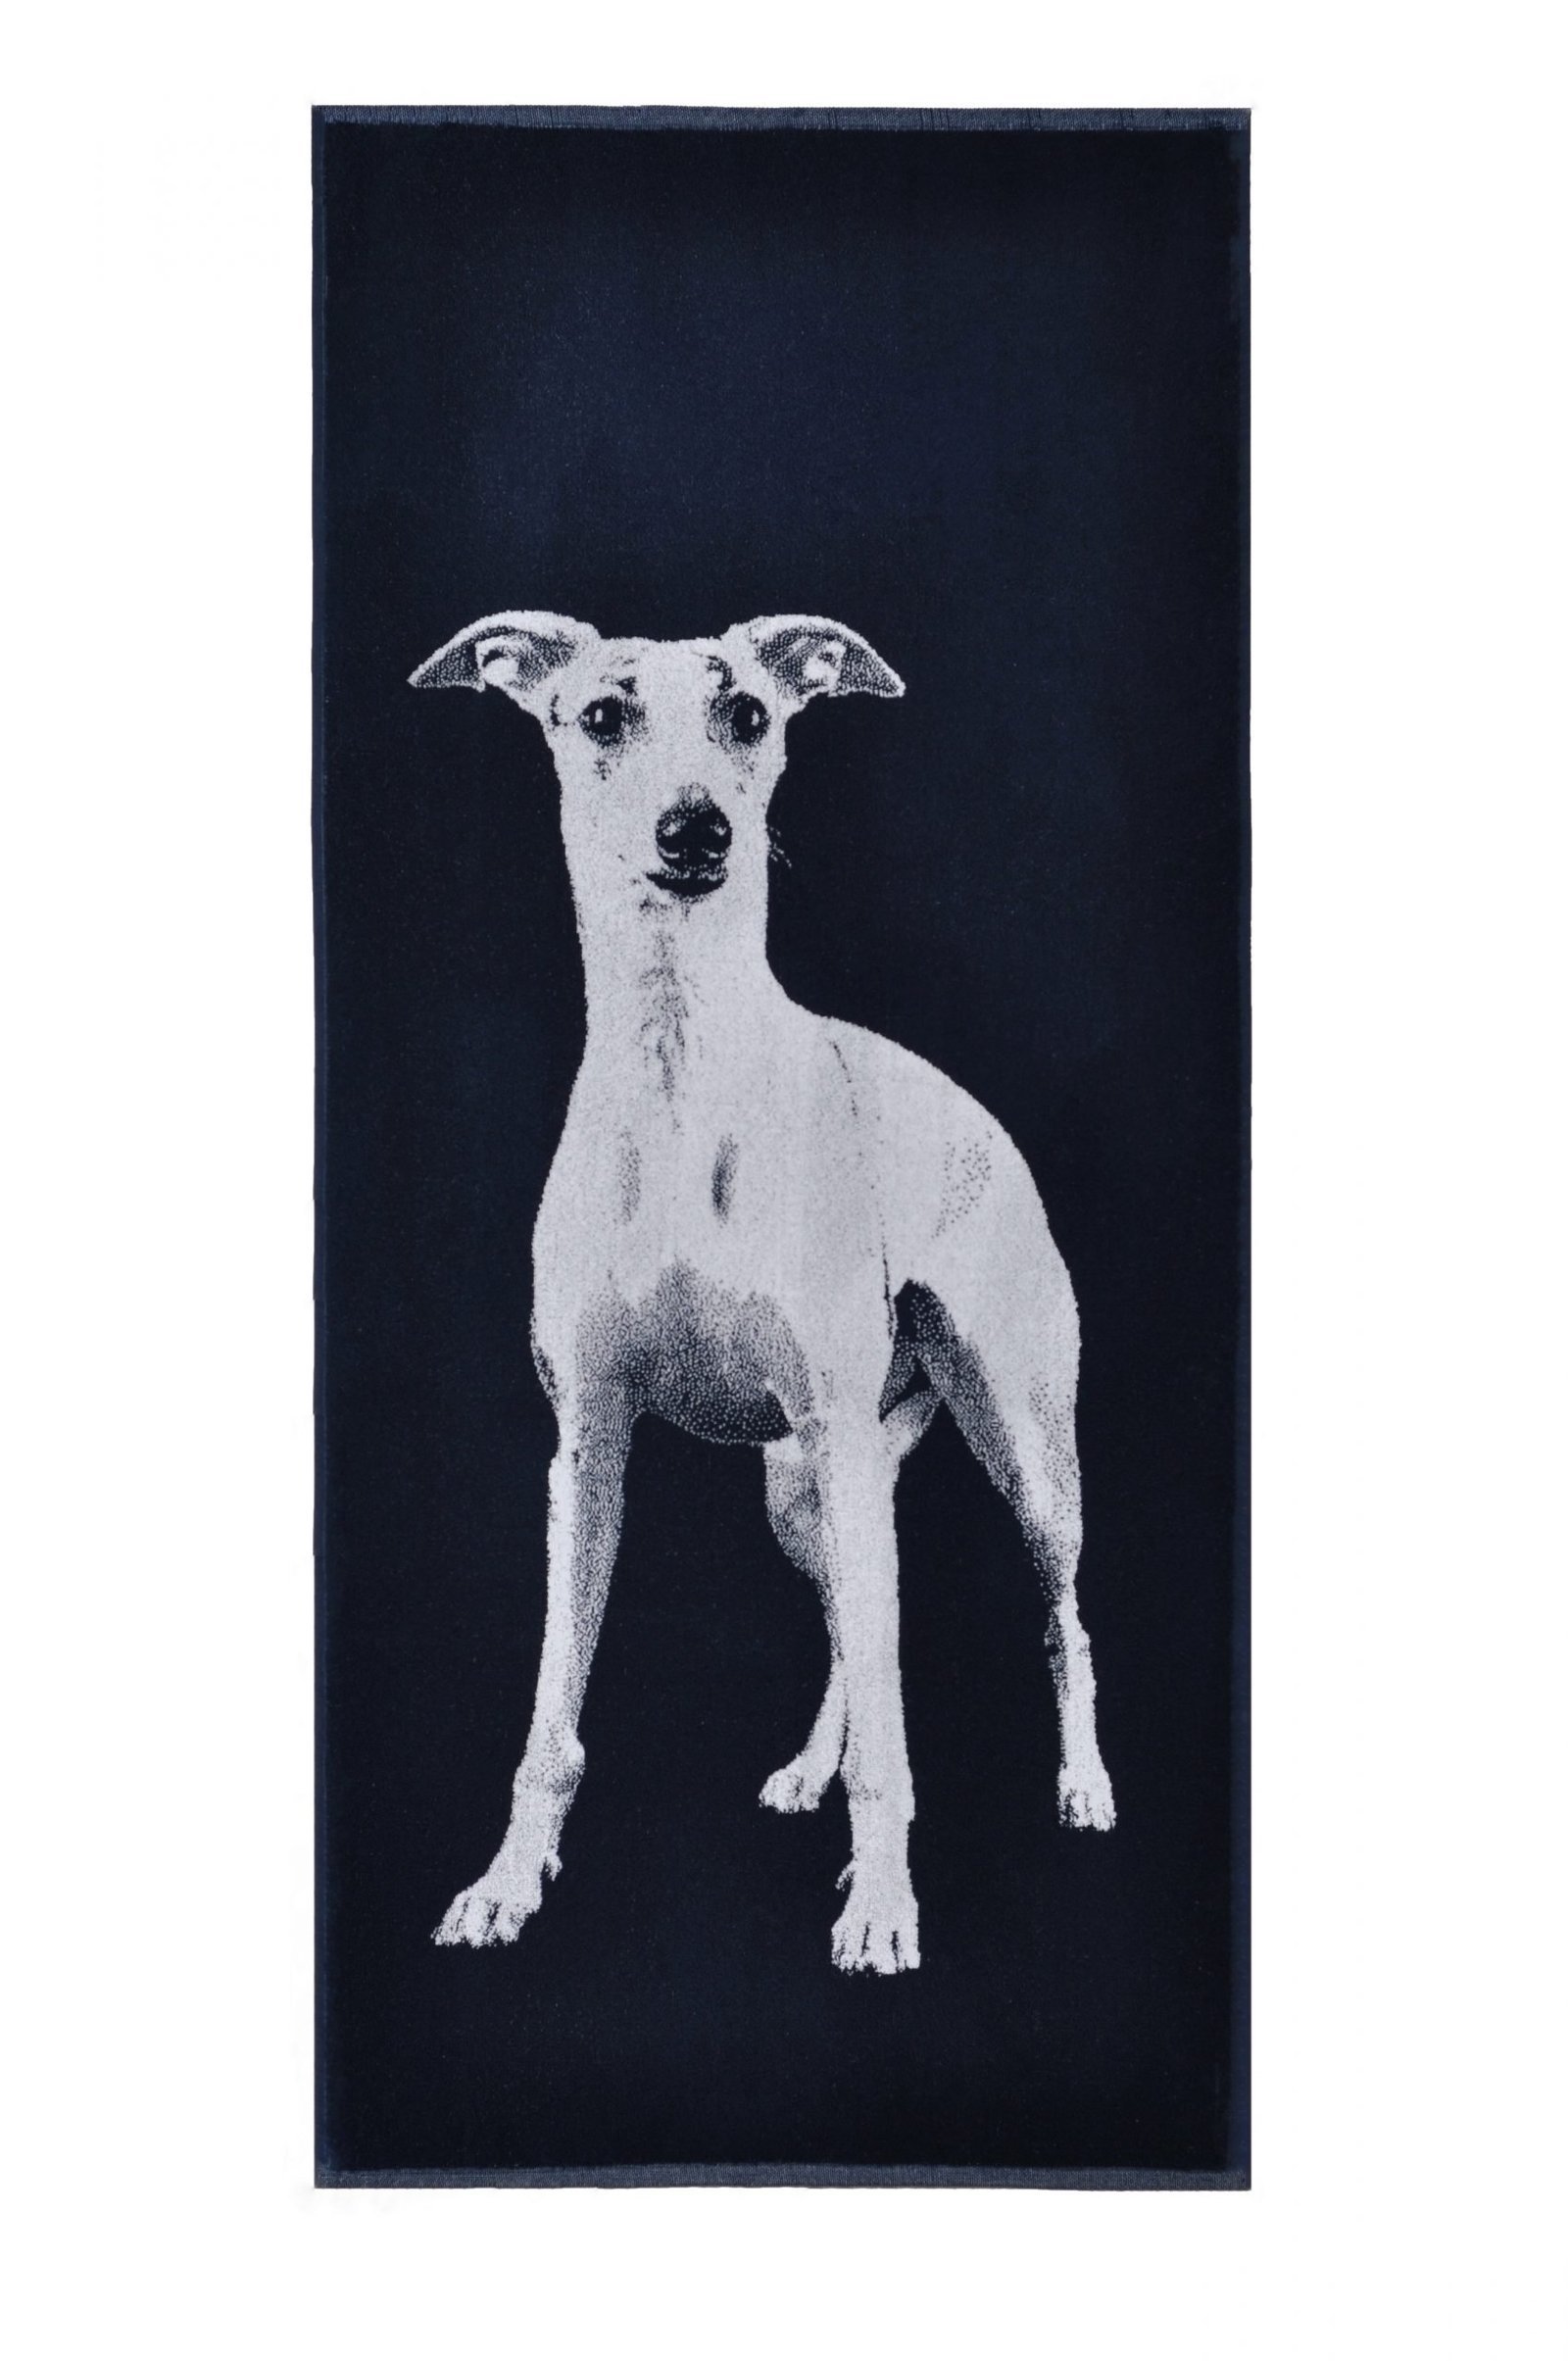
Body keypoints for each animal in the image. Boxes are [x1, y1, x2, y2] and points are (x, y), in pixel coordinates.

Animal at [411, 611, 1115, 1973]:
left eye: (746, 712)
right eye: (601, 714)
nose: (698, 831)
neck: (682, 1075)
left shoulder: (844, 1432)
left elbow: (898, 1732)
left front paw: (882, 1909)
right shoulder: (588, 1449)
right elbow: (552, 1717)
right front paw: (506, 1885)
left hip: (1019, 1449)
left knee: (1057, 1616)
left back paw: (1084, 1785)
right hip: (806, 1490)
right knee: (853, 1623)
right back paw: (807, 1768)